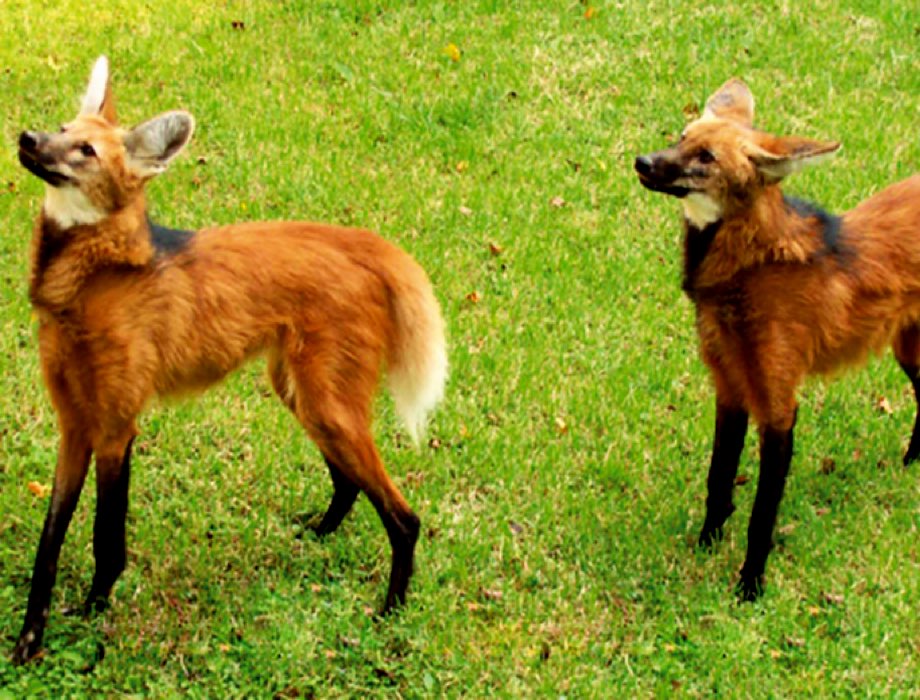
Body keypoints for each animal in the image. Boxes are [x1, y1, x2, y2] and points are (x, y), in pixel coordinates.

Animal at [11, 57, 446, 664]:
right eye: (60, 128)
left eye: (86, 151)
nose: (28, 138)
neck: (90, 277)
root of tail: (361, 244)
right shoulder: (74, 424)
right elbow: (50, 538)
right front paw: (31, 638)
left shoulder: (116, 426)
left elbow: (105, 535)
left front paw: (95, 613)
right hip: (301, 393)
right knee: (349, 480)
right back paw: (317, 533)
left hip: (324, 401)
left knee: (406, 518)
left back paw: (390, 611)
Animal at [636, 76, 920, 600]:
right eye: (682, 137)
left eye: (706, 157)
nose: (642, 161)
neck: (747, 268)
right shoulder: (729, 384)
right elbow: (719, 479)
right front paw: (706, 545)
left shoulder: (778, 404)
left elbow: (761, 516)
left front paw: (750, 587)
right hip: (906, 349)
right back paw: (912, 463)